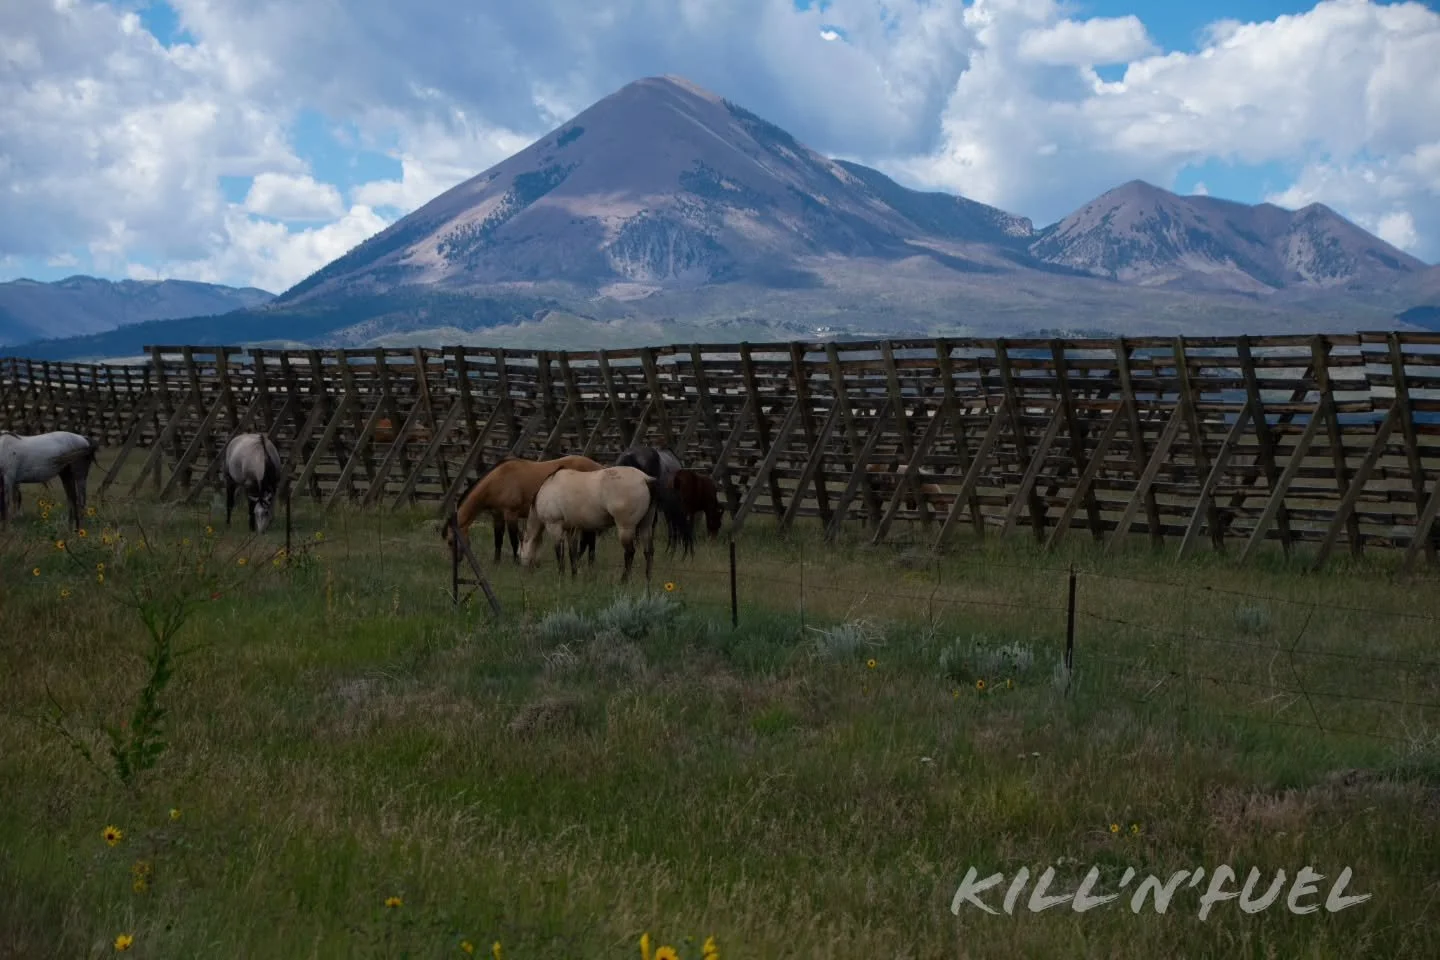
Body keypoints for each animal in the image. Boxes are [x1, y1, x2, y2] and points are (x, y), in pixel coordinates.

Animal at [445, 455, 605, 565]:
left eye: (451, 541)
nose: (456, 561)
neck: (498, 480)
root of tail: (599, 467)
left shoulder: (511, 514)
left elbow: (514, 540)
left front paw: (516, 561)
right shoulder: (497, 515)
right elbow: (498, 540)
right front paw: (496, 562)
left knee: (589, 539)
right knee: (588, 539)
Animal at [519, 465, 695, 582]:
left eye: (520, 554)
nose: (525, 573)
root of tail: (645, 479)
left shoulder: (554, 526)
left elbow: (559, 552)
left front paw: (561, 576)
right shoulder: (573, 529)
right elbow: (572, 553)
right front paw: (574, 576)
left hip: (625, 528)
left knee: (630, 552)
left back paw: (624, 580)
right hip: (645, 525)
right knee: (648, 551)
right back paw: (648, 578)